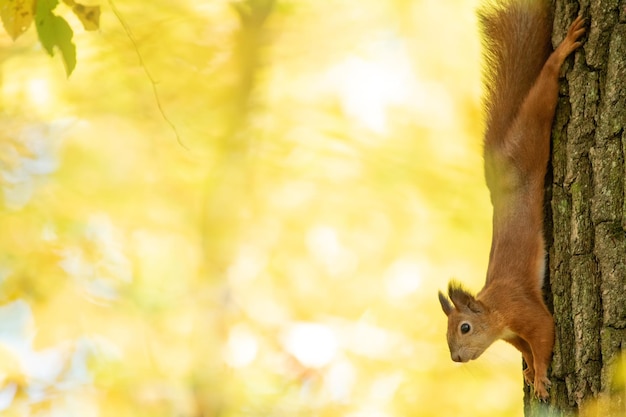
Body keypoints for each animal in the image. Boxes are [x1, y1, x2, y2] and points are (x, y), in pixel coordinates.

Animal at [436, 0, 584, 400]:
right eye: (446, 331)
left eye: (465, 327)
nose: (456, 358)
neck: (494, 310)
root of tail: (498, 168)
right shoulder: (513, 335)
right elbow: (527, 350)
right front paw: (532, 372)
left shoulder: (524, 309)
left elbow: (545, 333)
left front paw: (542, 376)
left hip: (531, 137)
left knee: (543, 91)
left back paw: (563, 50)